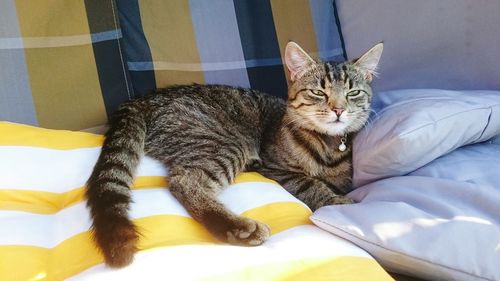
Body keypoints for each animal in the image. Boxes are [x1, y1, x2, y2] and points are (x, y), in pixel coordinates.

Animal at [86, 40, 382, 266]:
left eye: (353, 93)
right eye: (318, 92)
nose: (338, 109)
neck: (327, 145)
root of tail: (142, 98)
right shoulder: (275, 167)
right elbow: (311, 184)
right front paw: (337, 202)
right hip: (225, 144)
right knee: (185, 182)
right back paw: (238, 228)